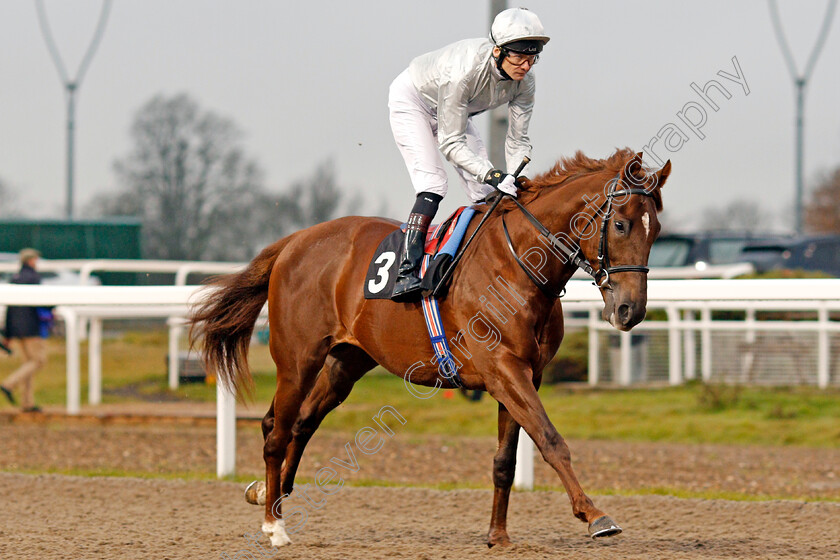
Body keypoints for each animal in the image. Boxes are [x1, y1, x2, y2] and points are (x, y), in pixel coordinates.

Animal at [190, 148, 668, 548]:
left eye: (656, 230)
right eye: (621, 224)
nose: (630, 309)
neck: (519, 266)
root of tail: (295, 240)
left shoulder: (523, 374)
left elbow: (506, 460)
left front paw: (498, 536)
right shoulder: (502, 369)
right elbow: (551, 439)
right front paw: (595, 515)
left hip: (347, 361)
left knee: (302, 423)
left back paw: (268, 494)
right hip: (298, 357)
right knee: (277, 430)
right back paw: (274, 526)